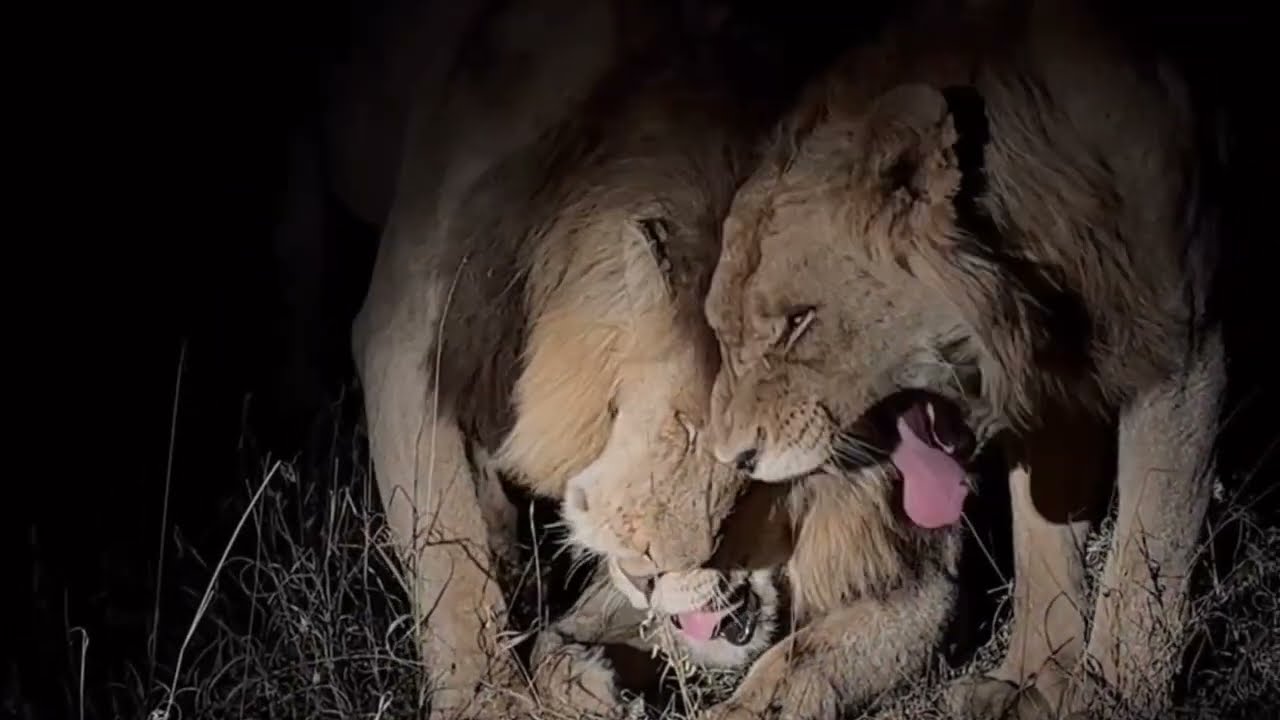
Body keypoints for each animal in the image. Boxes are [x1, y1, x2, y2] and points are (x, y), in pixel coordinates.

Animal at [700, 1, 1233, 718]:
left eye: (798, 322)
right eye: (721, 332)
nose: (734, 457)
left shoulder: (1181, 348)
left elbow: (1149, 548)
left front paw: (1114, 693)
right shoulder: (1055, 387)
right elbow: (1041, 550)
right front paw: (1031, 680)